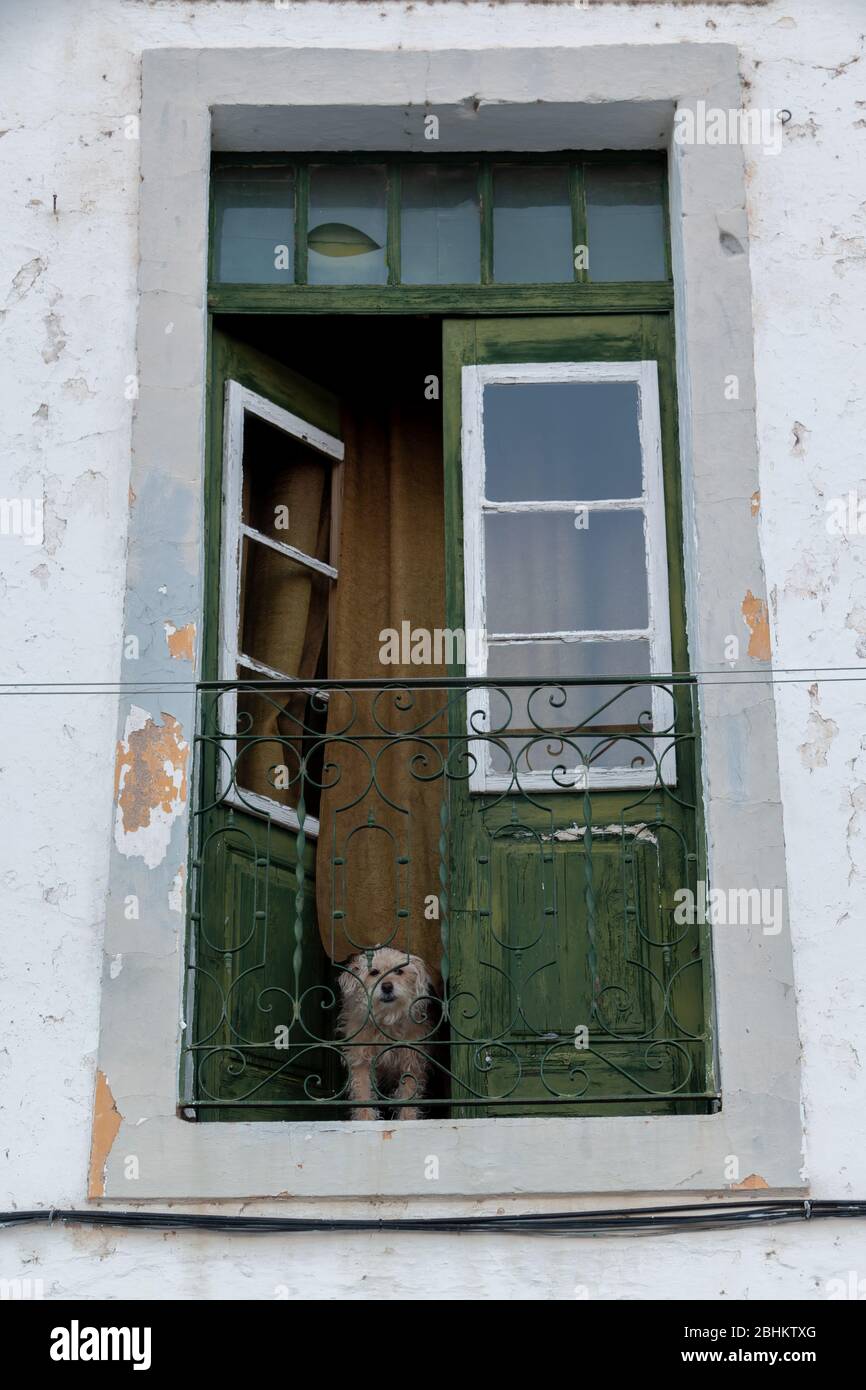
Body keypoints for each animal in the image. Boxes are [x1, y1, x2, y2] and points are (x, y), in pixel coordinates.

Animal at [337, 945, 436, 1117]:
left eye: (399, 971)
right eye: (374, 972)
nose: (387, 986)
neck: (388, 1019)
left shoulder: (411, 1062)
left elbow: (408, 1097)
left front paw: (407, 1119)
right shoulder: (361, 1061)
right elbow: (363, 1095)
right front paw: (365, 1119)